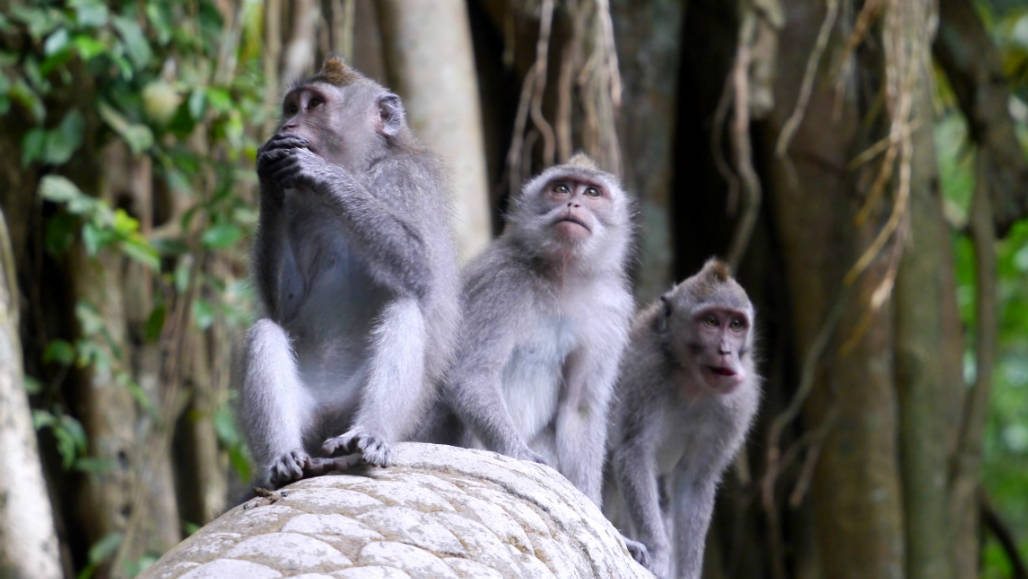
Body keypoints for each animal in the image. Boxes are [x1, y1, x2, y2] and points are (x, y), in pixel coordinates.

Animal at [240, 55, 458, 489]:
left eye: (314, 105)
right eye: (291, 107)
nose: (288, 127)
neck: (361, 168)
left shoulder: (408, 179)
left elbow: (420, 269)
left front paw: (323, 173)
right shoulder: (297, 206)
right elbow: (284, 307)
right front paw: (267, 175)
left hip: (360, 407)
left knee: (403, 309)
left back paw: (367, 436)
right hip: (308, 414)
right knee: (264, 333)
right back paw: (283, 461)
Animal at [423, 155, 633, 508]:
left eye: (592, 192)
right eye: (560, 188)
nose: (574, 203)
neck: (561, 276)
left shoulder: (609, 311)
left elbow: (579, 407)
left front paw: (592, 503)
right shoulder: (503, 283)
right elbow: (471, 375)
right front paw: (518, 453)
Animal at [604, 260, 760, 575]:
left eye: (736, 325)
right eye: (710, 322)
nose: (726, 351)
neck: (692, 382)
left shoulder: (739, 402)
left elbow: (695, 482)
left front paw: (687, 571)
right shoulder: (645, 372)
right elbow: (633, 452)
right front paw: (658, 552)